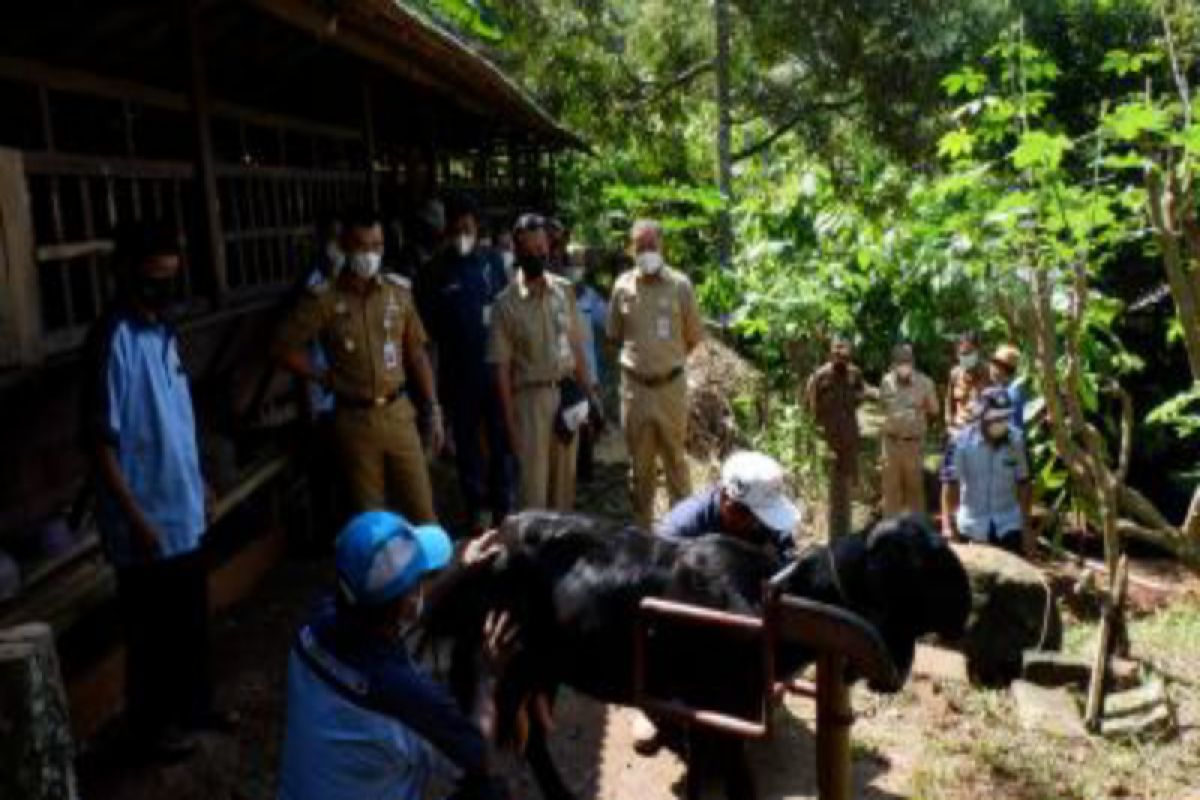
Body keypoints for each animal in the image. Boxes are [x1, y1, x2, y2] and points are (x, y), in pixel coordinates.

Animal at [427, 513, 969, 800]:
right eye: (925, 563)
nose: (967, 602)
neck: (771, 598)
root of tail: (493, 538)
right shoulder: (721, 711)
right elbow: (738, 783)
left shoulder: (723, 715)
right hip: (505, 662)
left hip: (544, 667)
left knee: (530, 738)